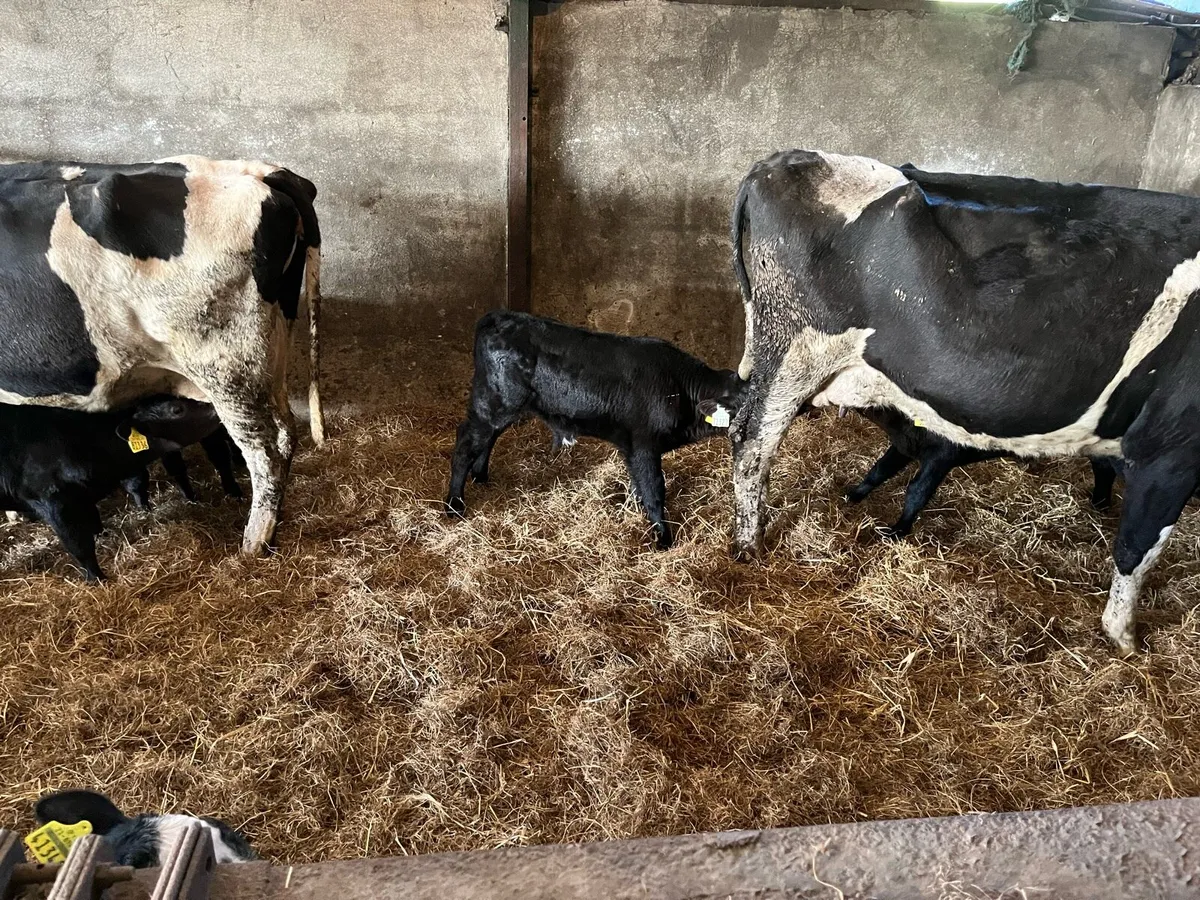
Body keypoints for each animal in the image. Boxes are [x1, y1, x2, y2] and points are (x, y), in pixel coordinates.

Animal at [0, 155, 323, 559]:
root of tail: (259, 171)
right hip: (270, 350)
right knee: (282, 433)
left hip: (225, 366)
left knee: (265, 450)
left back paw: (254, 543)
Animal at [0, 396, 226, 580]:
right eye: (177, 409)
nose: (214, 406)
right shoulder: (55, 503)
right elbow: (79, 546)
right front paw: (98, 579)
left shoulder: (86, 497)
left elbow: (97, 521)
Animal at [446, 311, 746, 549]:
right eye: (743, 404)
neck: (680, 388)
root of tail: (498, 316)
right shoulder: (644, 444)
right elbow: (654, 490)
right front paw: (663, 539)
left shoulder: (632, 448)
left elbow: (638, 487)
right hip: (494, 401)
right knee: (465, 444)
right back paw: (454, 505)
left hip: (504, 405)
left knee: (488, 437)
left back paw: (480, 475)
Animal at [728, 150, 1200, 654]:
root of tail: (788, 158)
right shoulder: (1170, 450)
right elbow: (1138, 547)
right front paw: (1123, 637)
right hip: (793, 350)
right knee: (752, 443)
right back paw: (749, 543)